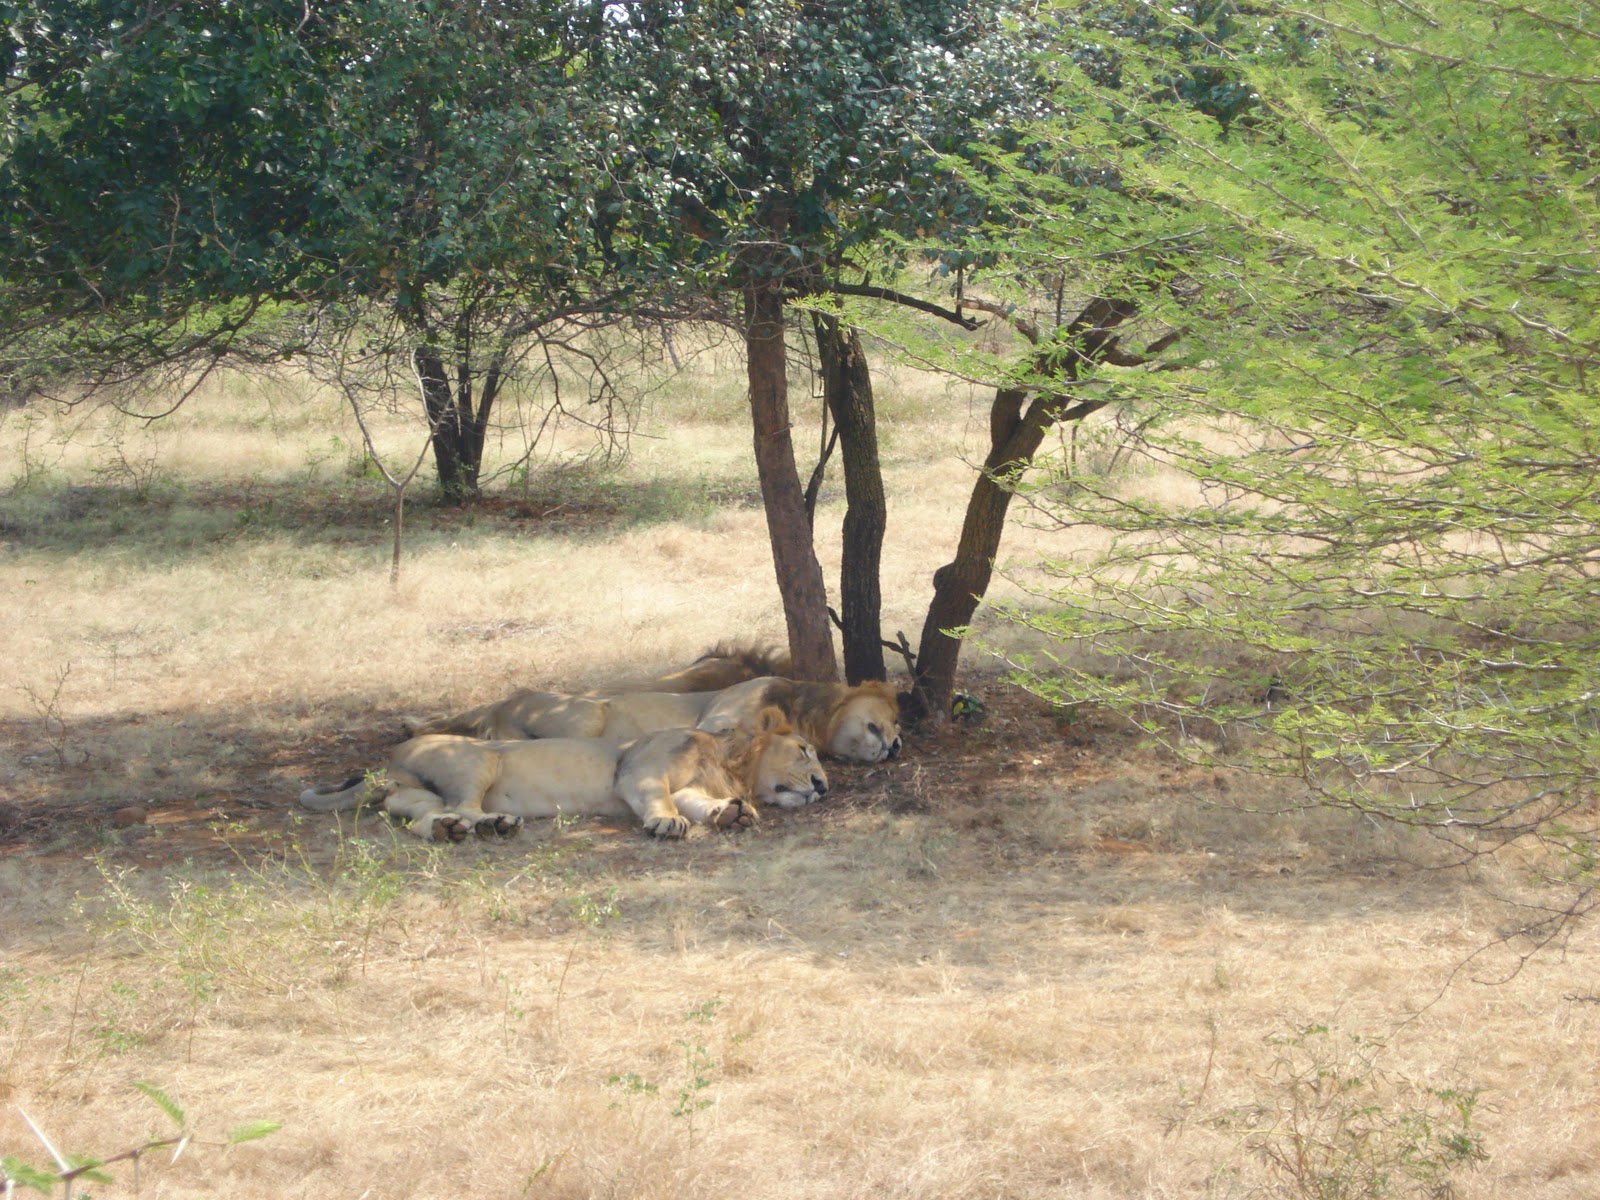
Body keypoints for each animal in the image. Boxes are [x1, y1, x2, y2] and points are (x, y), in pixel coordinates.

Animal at [301, 706, 828, 840]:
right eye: (805, 750)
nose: (823, 787)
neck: (729, 761)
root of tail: (386, 761)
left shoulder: (691, 787)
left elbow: (700, 805)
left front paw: (730, 814)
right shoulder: (639, 771)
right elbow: (661, 800)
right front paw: (665, 822)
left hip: (414, 796)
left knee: (426, 818)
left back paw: (460, 829)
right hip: (479, 758)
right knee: (464, 805)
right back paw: (488, 824)